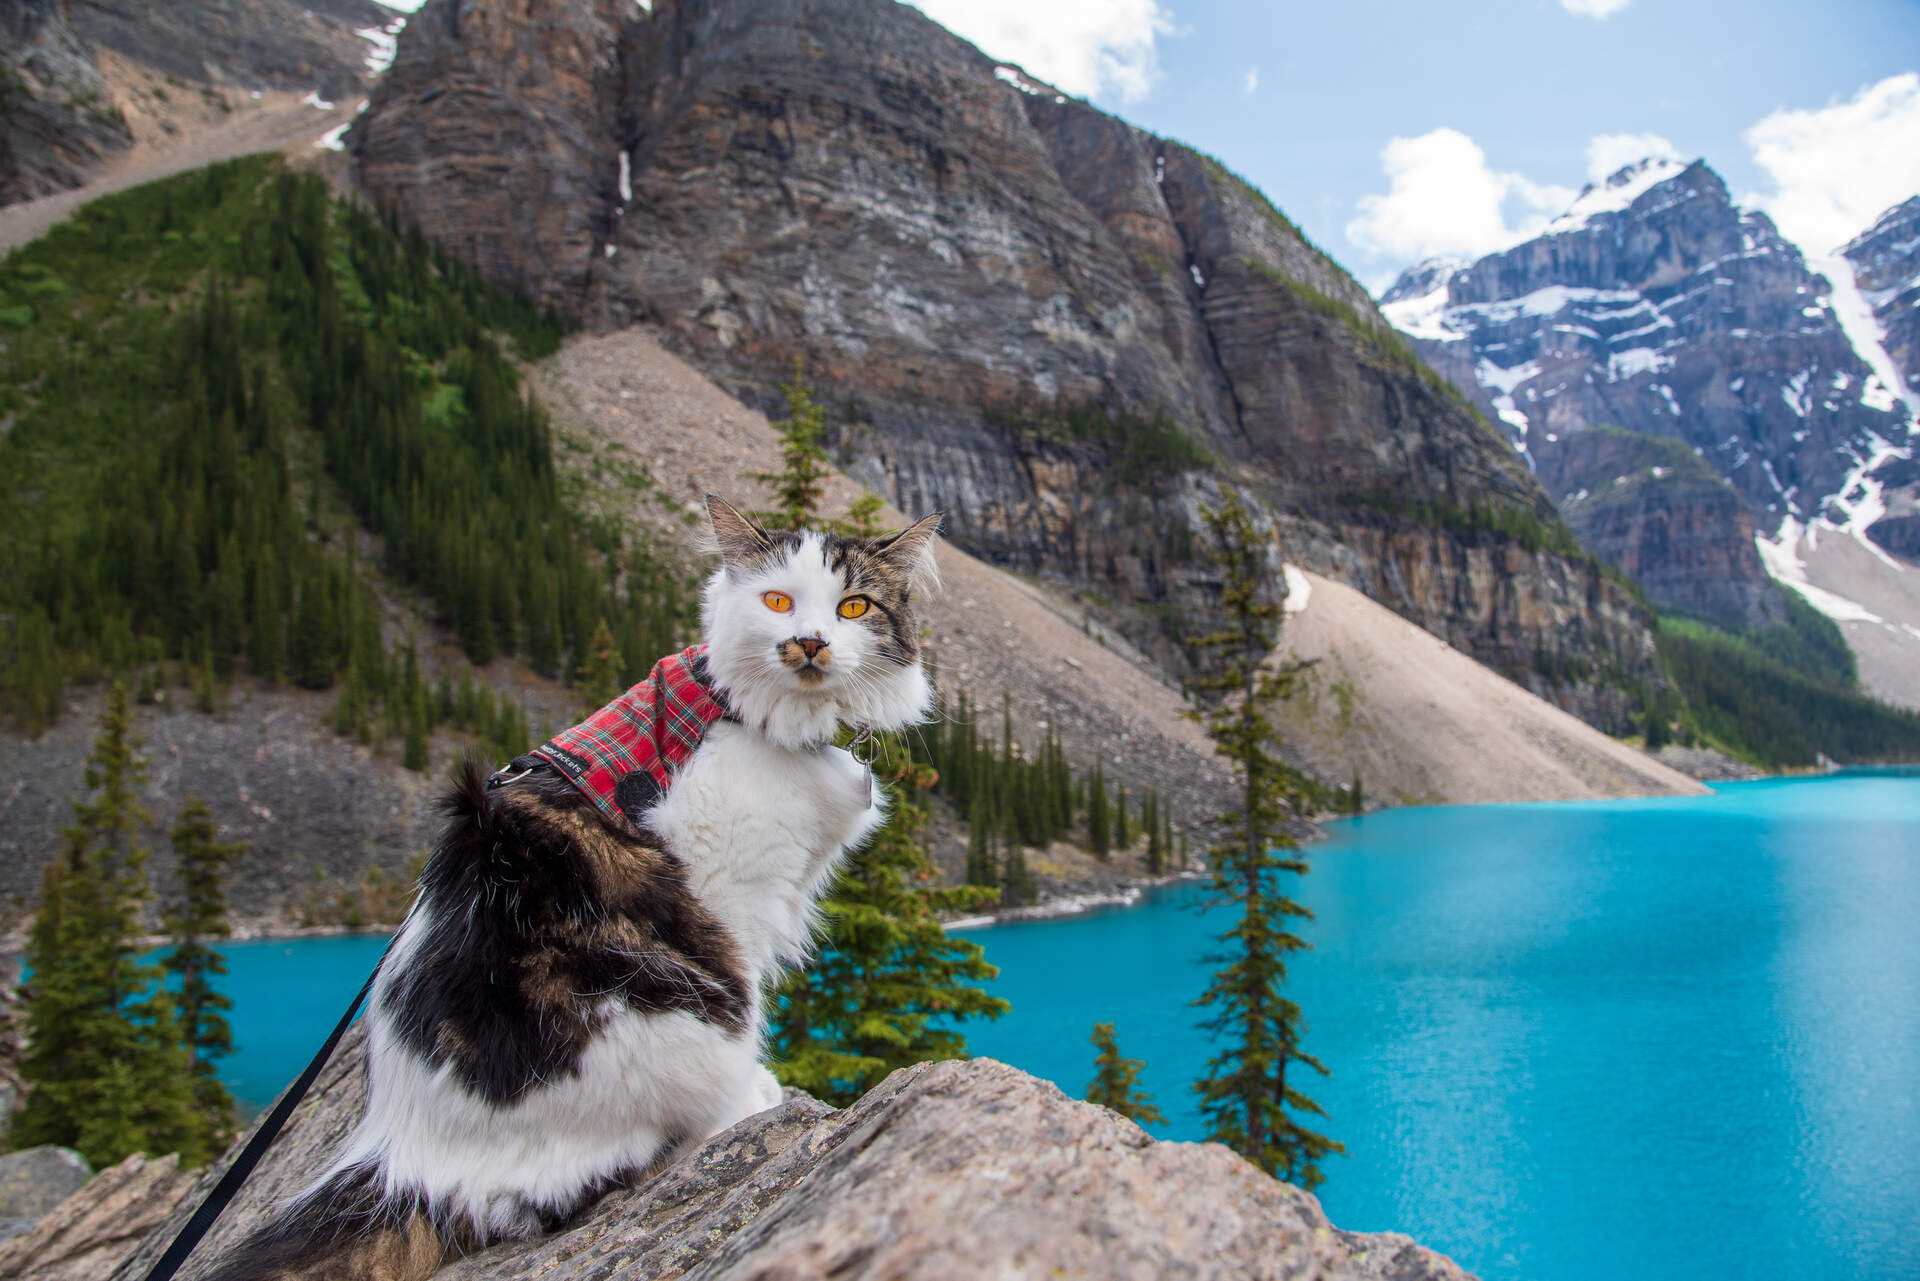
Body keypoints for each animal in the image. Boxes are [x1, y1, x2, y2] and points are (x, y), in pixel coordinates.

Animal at [198, 499, 940, 1281]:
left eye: (853, 606)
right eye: (777, 601)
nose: (808, 643)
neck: (738, 712)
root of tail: (403, 1159)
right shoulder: (728, 895)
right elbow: (748, 1003)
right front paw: (757, 1097)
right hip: (651, 1011)